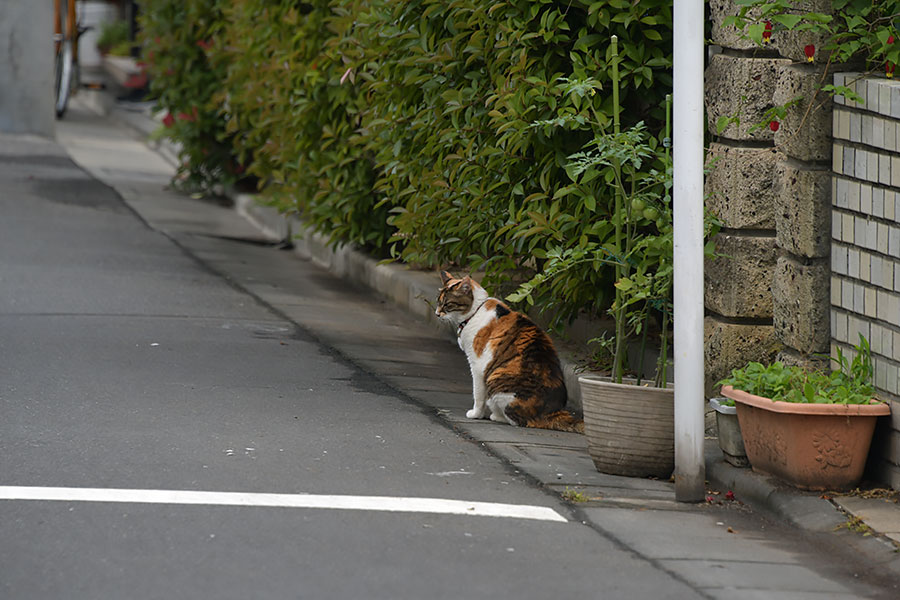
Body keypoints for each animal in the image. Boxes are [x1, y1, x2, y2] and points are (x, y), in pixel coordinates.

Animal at [436, 270, 584, 432]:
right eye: (438, 302)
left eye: (447, 304)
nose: (437, 314)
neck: (475, 311)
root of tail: (553, 411)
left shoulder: (477, 366)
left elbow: (478, 394)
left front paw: (476, 414)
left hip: (496, 380)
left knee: (517, 421)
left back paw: (495, 416)